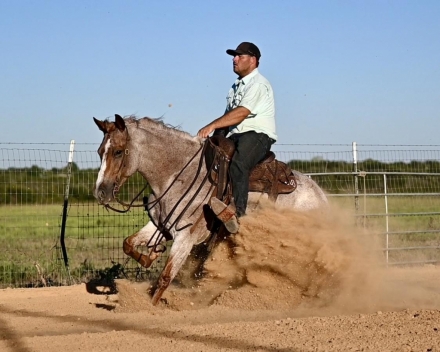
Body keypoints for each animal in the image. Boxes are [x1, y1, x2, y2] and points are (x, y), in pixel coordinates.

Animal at [93, 114, 326, 304]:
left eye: (118, 151)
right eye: (99, 152)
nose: (101, 192)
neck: (178, 175)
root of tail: (319, 194)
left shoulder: (186, 236)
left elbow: (165, 278)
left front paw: (148, 310)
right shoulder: (160, 225)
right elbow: (128, 244)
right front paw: (150, 255)